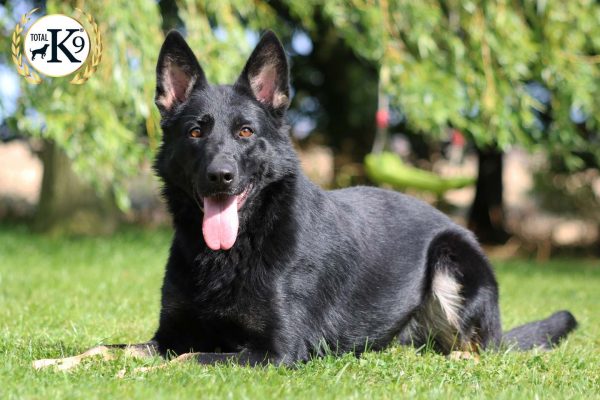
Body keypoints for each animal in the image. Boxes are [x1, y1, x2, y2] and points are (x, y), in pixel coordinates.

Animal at [32, 31, 576, 372]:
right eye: (194, 132)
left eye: (245, 132)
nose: (220, 177)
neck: (233, 251)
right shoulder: (169, 336)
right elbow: (108, 348)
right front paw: (57, 362)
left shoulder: (276, 352)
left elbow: (183, 362)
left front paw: (135, 378)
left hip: (451, 259)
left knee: (477, 349)